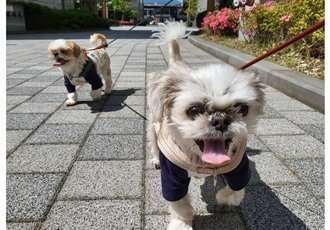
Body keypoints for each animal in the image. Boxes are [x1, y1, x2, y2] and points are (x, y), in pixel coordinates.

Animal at [147, 20, 266, 229]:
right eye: (194, 110)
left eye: (242, 108)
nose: (221, 120)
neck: (204, 163)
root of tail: (177, 67)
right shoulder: (172, 177)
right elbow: (179, 204)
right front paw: (181, 224)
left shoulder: (240, 168)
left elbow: (237, 189)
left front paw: (223, 198)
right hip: (154, 124)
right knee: (153, 143)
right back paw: (155, 159)